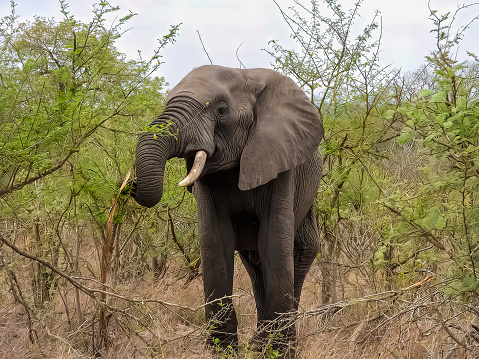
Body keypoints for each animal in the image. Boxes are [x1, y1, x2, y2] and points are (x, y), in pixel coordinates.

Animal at [133, 65, 324, 358]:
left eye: (222, 110)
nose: (130, 186)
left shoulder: (280, 161)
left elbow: (274, 240)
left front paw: (274, 352)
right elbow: (215, 240)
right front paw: (223, 350)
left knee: (301, 250)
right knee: (255, 263)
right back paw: (259, 341)